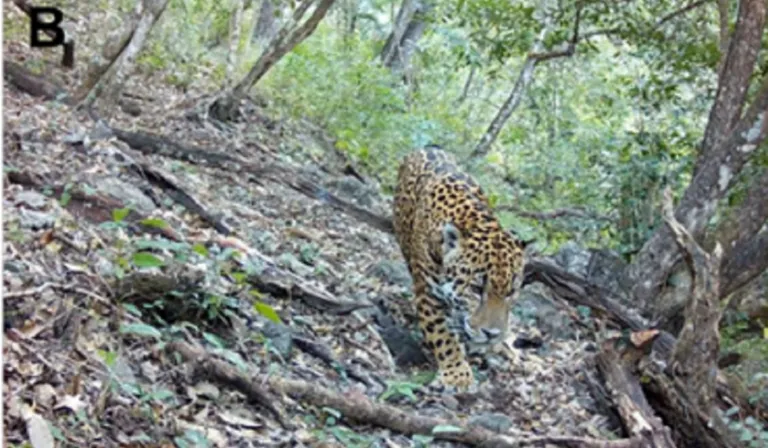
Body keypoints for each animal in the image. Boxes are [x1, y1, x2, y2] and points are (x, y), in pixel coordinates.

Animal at [392, 147, 526, 391]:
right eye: (475, 288)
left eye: (511, 292)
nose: (492, 334)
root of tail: (429, 146)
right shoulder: (428, 293)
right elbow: (442, 336)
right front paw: (457, 375)